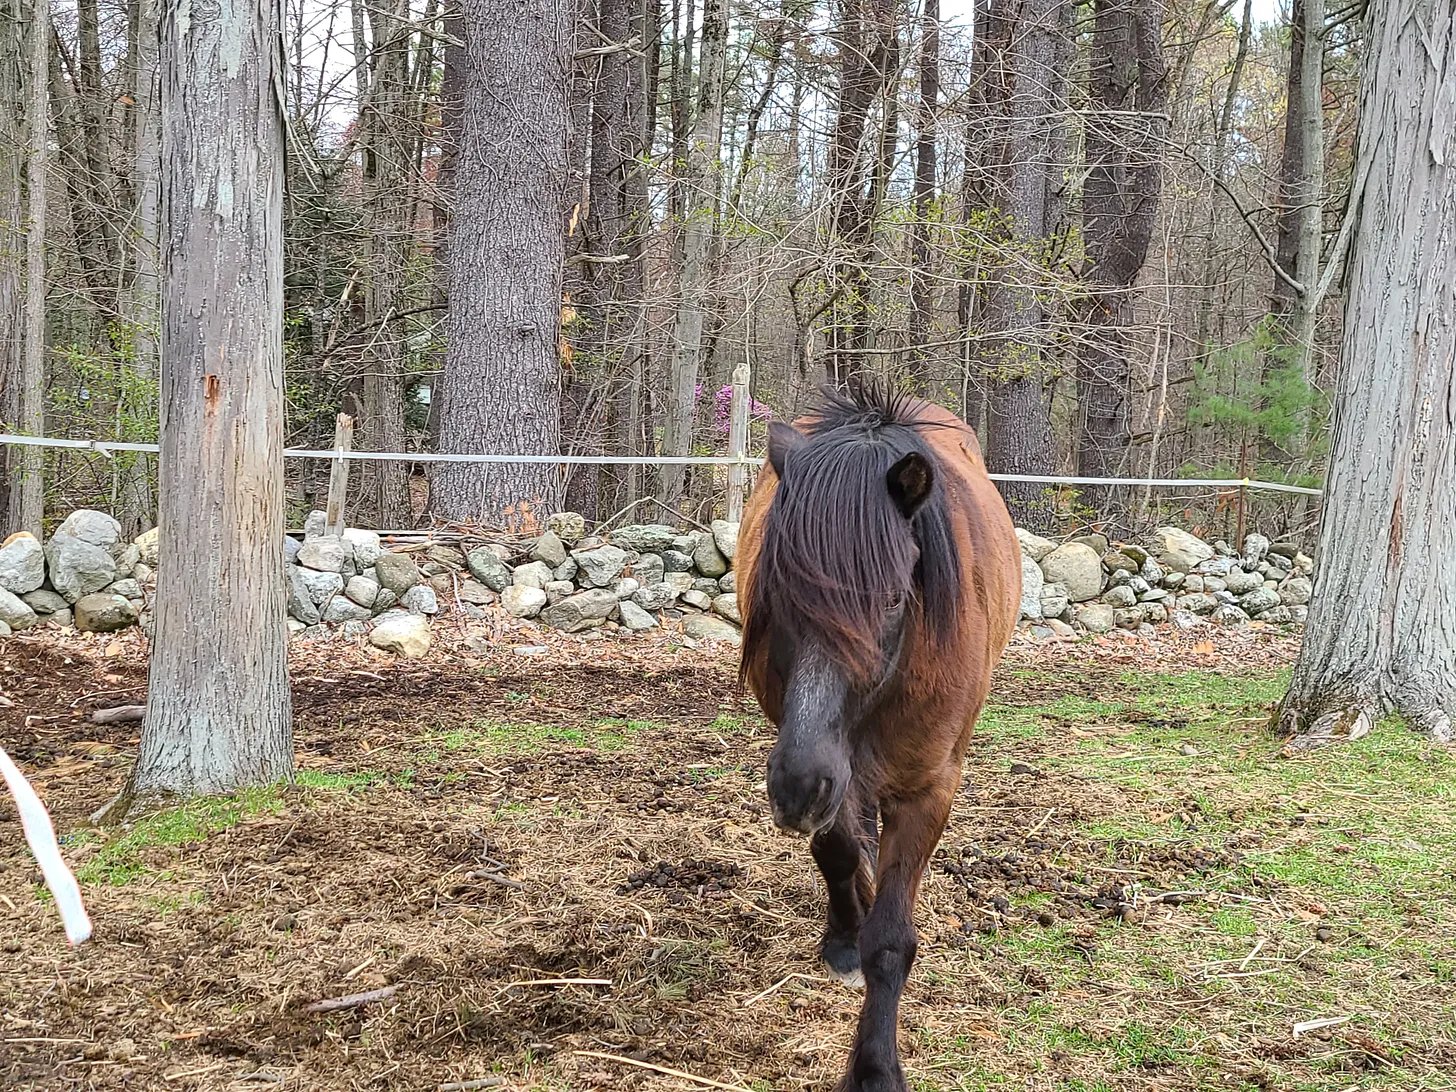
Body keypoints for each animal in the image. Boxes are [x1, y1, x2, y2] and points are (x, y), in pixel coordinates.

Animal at [736, 380, 1021, 1092]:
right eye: (776, 591)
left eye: (894, 599)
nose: (797, 788)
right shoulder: (827, 766)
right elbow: (837, 854)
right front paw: (844, 936)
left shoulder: (929, 789)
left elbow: (891, 940)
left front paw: (874, 1068)